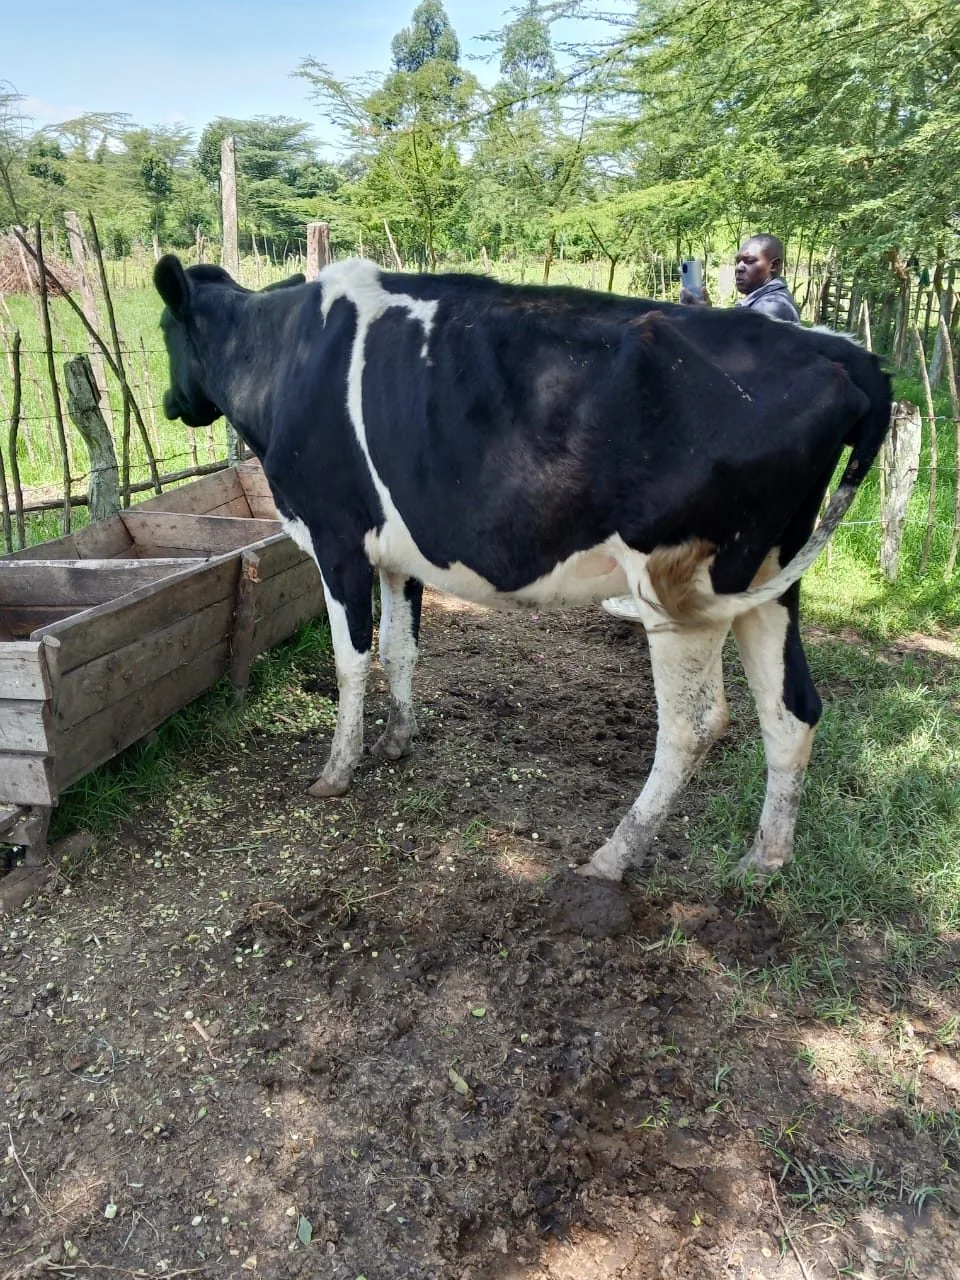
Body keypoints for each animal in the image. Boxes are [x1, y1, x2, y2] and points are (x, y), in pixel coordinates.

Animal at [154, 256, 891, 884]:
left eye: (165, 329)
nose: (169, 403)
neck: (284, 357)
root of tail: (845, 352)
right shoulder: (396, 554)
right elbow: (399, 649)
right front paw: (397, 740)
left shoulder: (336, 540)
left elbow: (351, 661)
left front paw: (336, 771)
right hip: (768, 581)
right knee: (791, 709)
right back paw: (764, 859)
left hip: (682, 589)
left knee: (696, 725)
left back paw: (615, 854)